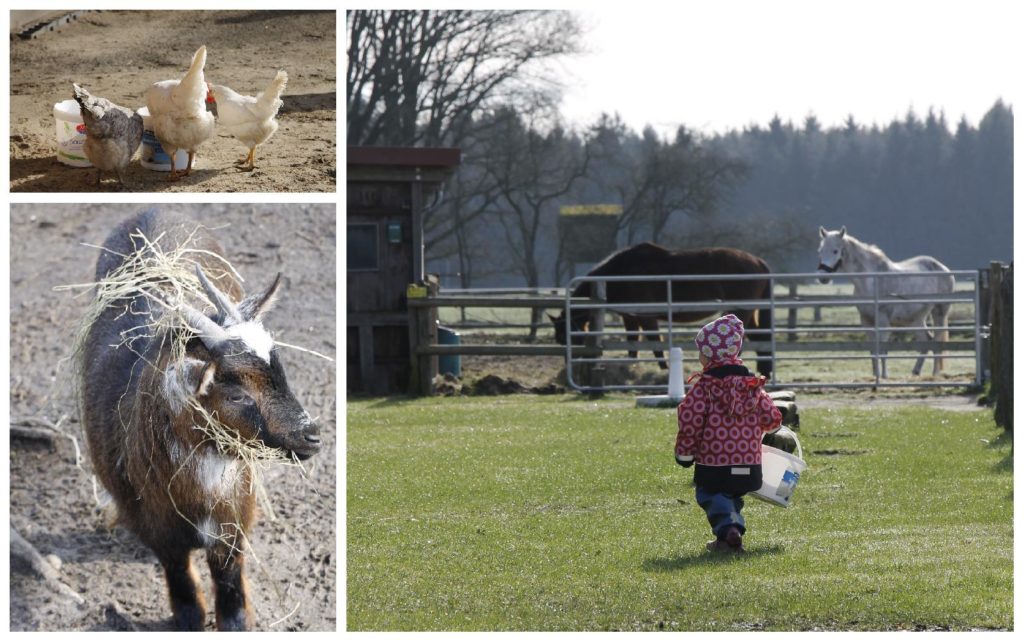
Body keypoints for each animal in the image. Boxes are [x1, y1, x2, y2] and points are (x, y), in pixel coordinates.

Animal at [79, 208, 319, 630]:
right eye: (237, 392)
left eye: (281, 371)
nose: (312, 435)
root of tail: (150, 212)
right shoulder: (155, 527)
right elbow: (179, 575)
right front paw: (189, 615)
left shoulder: (234, 520)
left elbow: (228, 576)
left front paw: (238, 619)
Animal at [552, 243, 774, 378]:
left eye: (568, 337)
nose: (569, 367)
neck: (620, 273)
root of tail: (759, 261)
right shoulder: (630, 318)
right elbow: (633, 344)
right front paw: (632, 367)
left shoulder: (647, 317)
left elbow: (655, 343)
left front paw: (664, 369)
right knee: (760, 338)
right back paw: (766, 371)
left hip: (741, 311)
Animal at [815, 227, 950, 378]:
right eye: (820, 251)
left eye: (835, 251)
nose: (822, 277)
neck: (871, 281)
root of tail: (943, 268)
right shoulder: (867, 321)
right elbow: (873, 350)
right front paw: (875, 374)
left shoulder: (883, 322)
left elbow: (883, 350)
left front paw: (884, 375)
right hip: (915, 319)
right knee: (927, 340)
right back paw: (916, 371)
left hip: (940, 312)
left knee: (937, 341)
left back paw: (935, 374)